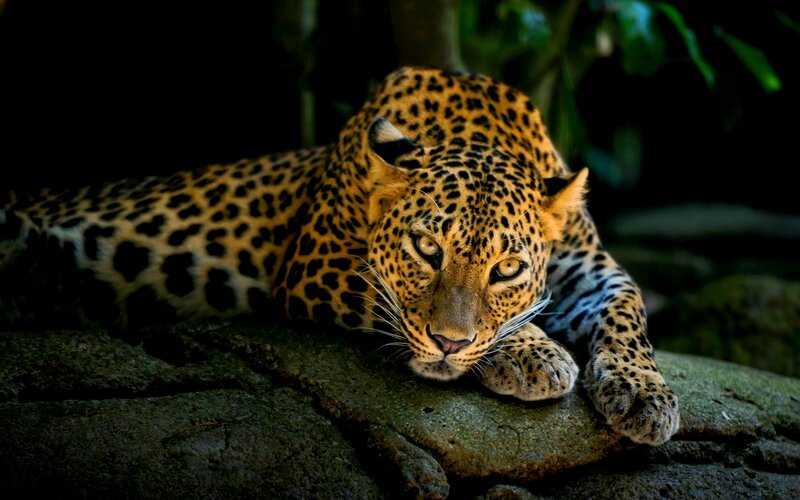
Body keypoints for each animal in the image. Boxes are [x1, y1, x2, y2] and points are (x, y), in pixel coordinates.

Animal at [0, 67, 679, 445]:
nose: (450, 345)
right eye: (426, 249)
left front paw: (644, 395)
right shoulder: (314, 262)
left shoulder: (590, 267)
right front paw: (536, 353)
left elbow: (629, 309)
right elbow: (396, 303)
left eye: (507, 269)